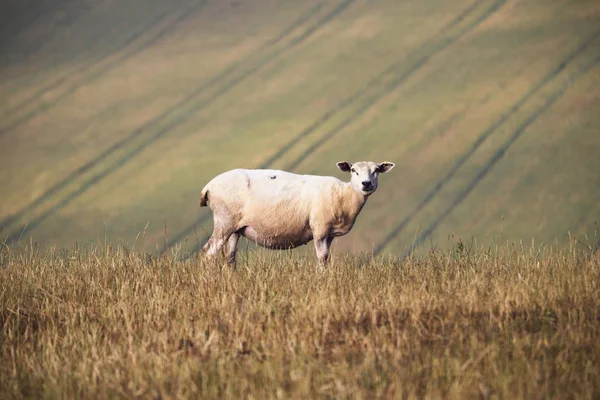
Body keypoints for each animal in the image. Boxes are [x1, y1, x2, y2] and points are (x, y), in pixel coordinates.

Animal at [198, 159, 394, 266]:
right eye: (354, 170)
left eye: (376, 170)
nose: (366, 184)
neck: (343, 195)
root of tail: (209, 186)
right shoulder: (320, 228)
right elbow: (322, 257)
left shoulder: (329, 234)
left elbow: (327, 257)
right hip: (224, 221)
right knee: (209, 253)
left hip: (235, 228)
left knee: (230, 257)